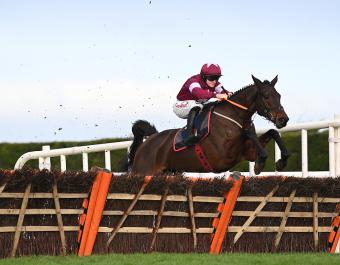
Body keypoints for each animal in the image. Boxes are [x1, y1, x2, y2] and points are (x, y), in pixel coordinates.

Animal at [125, 75, 290, 175]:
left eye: (279, 95)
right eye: (266, 96)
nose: (283, 119)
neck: (235, 116)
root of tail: (148, 142)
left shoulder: (246, 152)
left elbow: (272, 132)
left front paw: (281, 161)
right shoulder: (223, 156)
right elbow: (248, 133)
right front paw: (260, 162)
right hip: (143, 172)